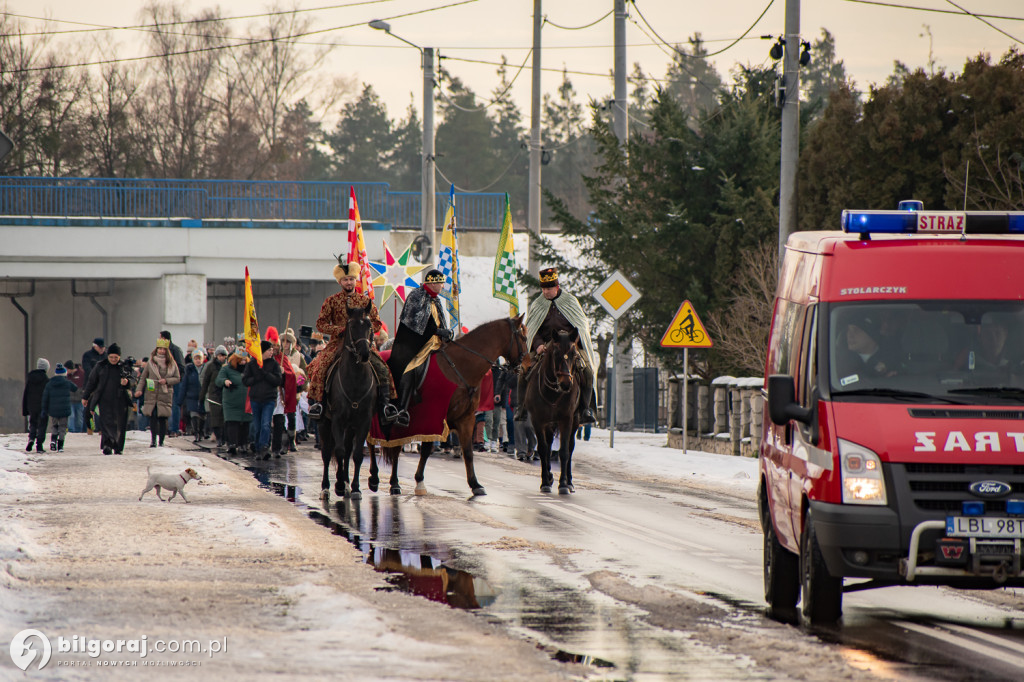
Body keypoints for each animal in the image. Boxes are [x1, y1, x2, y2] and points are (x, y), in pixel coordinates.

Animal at [319, 303, 385, 499]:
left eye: (369, 325)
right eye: (352, 326)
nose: (364, 354)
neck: (355, 381)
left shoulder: (363, 421)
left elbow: (355, 454)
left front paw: (354, 487)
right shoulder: (337, 420)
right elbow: (339, 452)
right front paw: (339, 484)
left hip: (350, 426)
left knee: (348, 450)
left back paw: (347, 485)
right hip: (324, 422)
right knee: (327, 453)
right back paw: (326, 487)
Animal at [382, 315, 532, 497]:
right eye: (523, 337)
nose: (529, 366)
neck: (460, 367)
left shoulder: (465, 419)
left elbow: (468, 452)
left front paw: (475, 484)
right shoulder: (434, 417)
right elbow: (426, 449)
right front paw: (419, 481)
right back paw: (392, 483)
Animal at [524, 327, 581, 491]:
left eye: (574, 354)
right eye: (556, 353)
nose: (566, 384)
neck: (554, 393)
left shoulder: (566, 419)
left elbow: (564, 451)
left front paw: (563, 484)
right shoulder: (538, 420)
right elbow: (543, 449)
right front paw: (545, 481)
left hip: (575, 421)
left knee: (570, 447)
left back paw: (570, 482)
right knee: (548, 445)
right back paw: (549, 477)